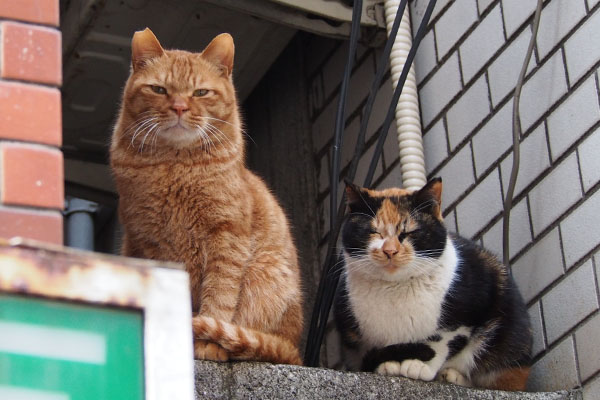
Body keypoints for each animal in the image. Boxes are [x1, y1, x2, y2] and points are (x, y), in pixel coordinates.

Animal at [109, 28, 302, 366]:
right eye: (159, 89)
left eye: (200, 93)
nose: (179, 107)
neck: (174, 167)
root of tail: (296, 347)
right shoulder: (150, 242)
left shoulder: (226, 237)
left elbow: (220, 296)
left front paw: (206, 344)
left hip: (263, 273)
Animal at [336, 179, 532, 390]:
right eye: (374, 232)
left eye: (409, 232)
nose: (390, 251)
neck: (394, 288)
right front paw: (389, 365)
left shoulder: (464, 315)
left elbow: (439, 344)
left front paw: (418, 366)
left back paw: (452, 376)